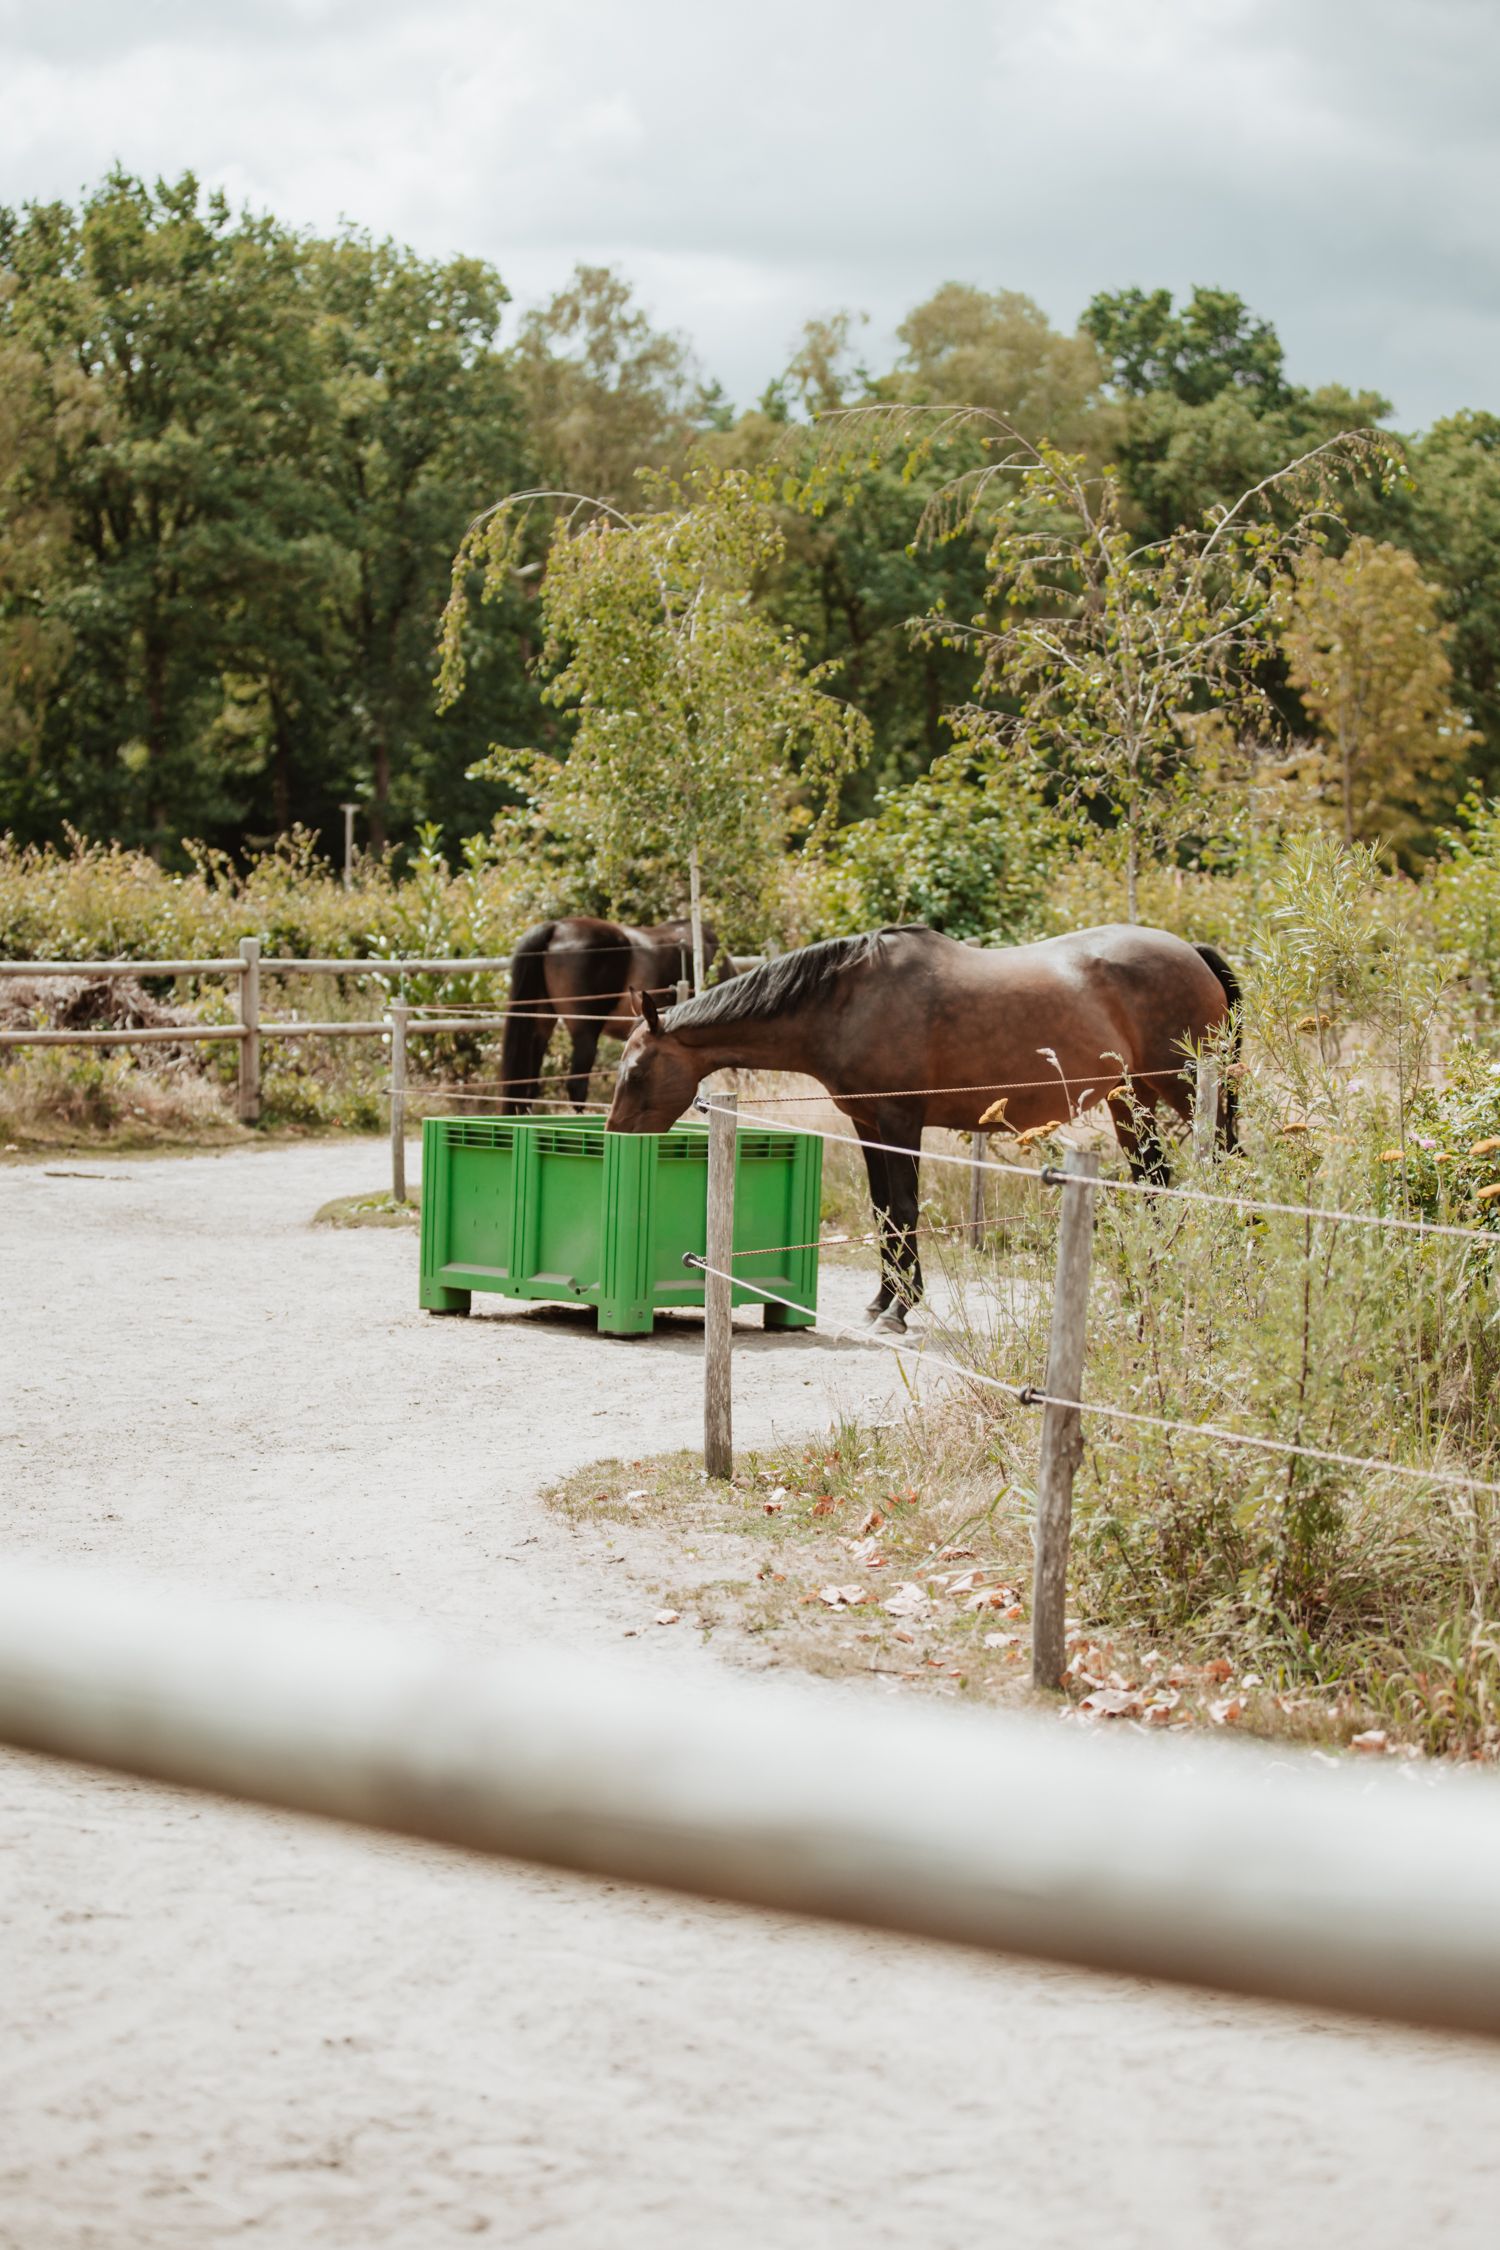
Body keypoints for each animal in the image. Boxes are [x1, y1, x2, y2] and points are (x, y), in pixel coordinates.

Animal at [605, 922, 1241, 1330]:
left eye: (635, 1070)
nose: (614, 1138)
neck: (847, 1002)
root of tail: (1191, 952)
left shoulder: (899, 1119)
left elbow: (906, 1208)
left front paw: (901, 1308)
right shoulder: (866, 1122)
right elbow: (883, 1211)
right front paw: (882, 1299)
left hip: (1187, 1091)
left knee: (1223, 1171)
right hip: (1131, 1100)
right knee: (1154, 1183)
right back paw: (1145, 1287)